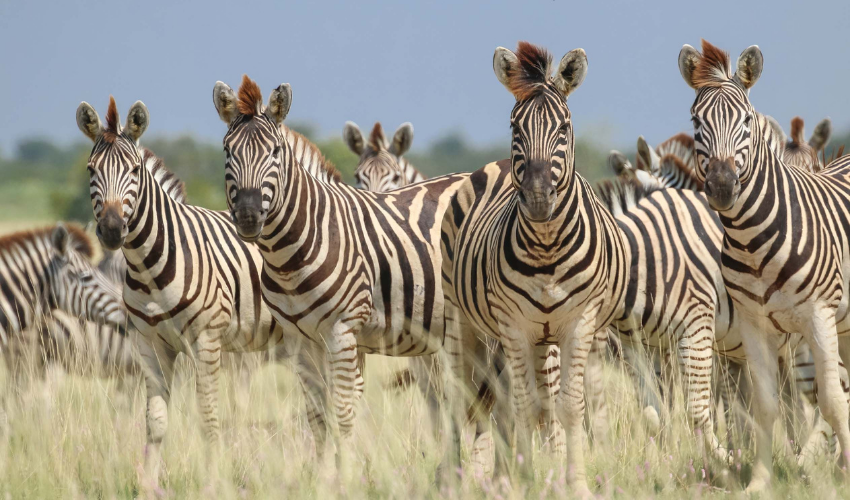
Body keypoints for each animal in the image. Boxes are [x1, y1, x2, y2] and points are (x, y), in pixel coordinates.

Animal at [75, 96, 334, 484]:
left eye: (134, 170)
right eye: (92, 171)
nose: (110, 230)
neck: (150, 266)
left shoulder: (206, 341)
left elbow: (209, 417)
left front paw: (213, 480)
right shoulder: (149, 346)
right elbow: (155, 423)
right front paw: (148, 485)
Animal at [210, 75, 490, 480]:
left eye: (276, 152)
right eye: (227, 152)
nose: (247, 215)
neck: (292, 252)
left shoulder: (344, 333)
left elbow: (343, 413)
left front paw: (347, 478)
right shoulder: (300, 341)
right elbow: (316, 416)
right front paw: (323, 477)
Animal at [680, 39, 850, 492]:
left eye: (745, 121)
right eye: (696, 121)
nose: (722, 186)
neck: (753, 241)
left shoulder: (819, 315)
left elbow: (831, 400)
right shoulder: (753, 324)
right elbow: (766, 406)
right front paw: (760, 481)